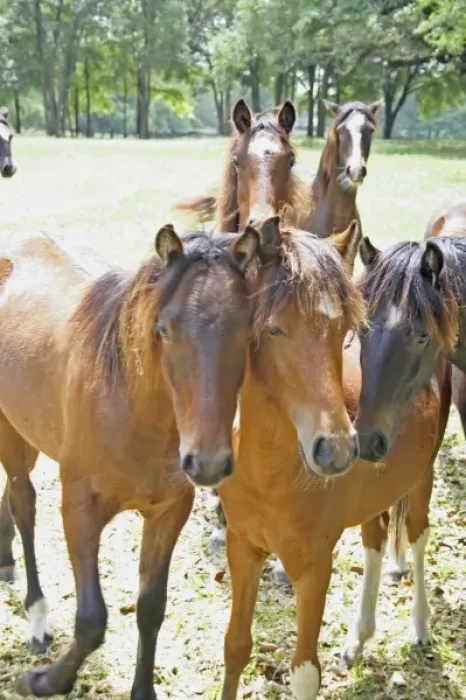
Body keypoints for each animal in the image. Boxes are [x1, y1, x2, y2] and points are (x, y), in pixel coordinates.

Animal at [0, 223, 265, 699]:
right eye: (164, 328)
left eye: (247, 332)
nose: (209, 464)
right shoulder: (80, 511)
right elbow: (92, 620)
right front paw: (46, 680)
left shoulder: (167, 513)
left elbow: (150, 609)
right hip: (10, 433)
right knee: (23, 504)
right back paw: (37, 614)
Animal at [218, 225, 448, 700]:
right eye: (274, 328)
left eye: (344, 329)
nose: (338, 449)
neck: (270, 475)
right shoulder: (242, 547)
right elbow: (236, 647)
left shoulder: (314, 568)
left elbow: (305, 673)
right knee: (376, 539)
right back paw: (359, 638)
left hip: (421, 478)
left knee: (417, 536)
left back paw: (420, 629)